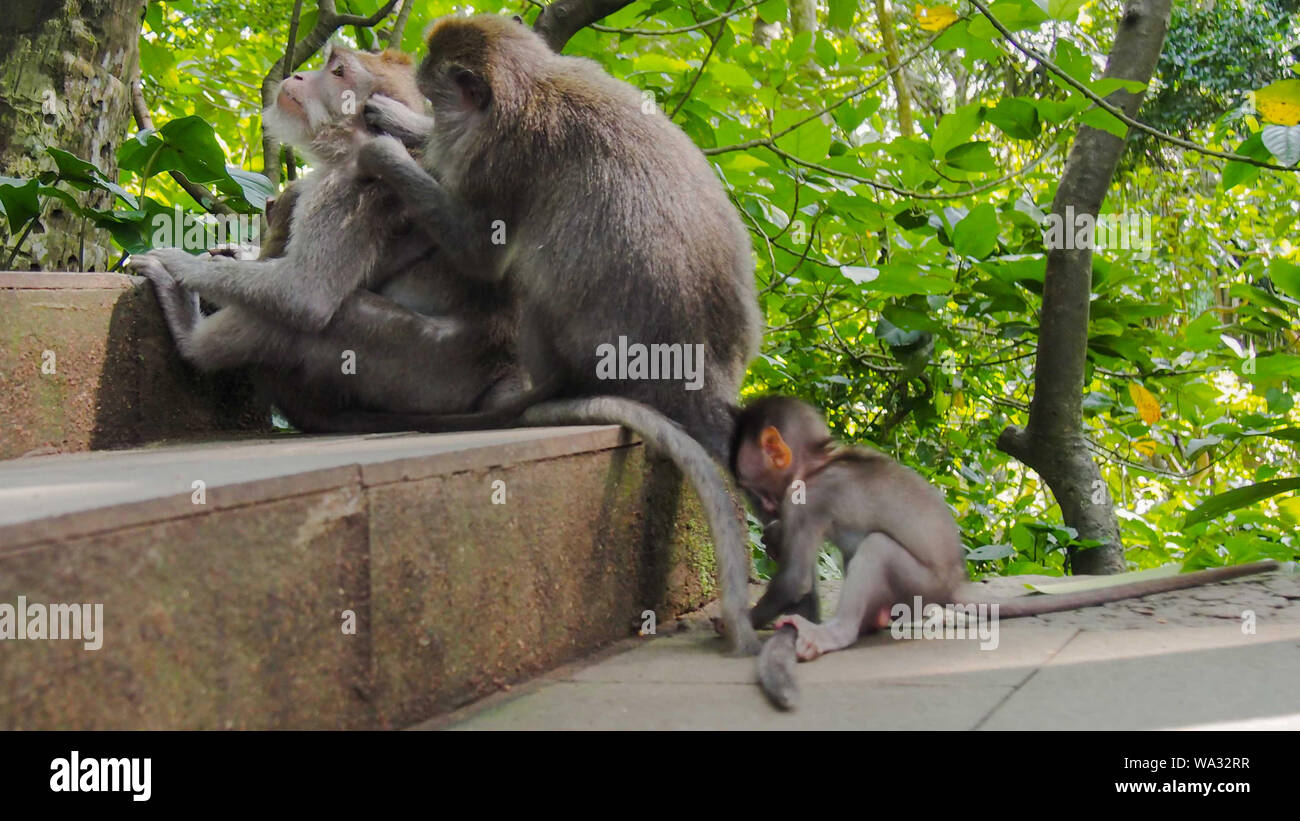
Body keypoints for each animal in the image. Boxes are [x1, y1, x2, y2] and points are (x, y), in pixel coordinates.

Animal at [351, 14, 764, 654]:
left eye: (438, 92)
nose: (434, 119)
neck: (533, 85)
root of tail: (704, 378)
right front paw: (399, 123)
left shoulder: (498, 158)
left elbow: (481, 253)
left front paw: (385, 152)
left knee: (533, 273)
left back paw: (538, 396)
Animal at [733, 394, 1279, 706]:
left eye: (758, 489)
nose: (765, 511)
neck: (819, 463)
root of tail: (956, 585)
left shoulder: (808, 498)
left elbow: (795, 578)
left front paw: (730, 621)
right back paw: (873, 620)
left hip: (920, 582)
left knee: (875, 549)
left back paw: (838, 632)